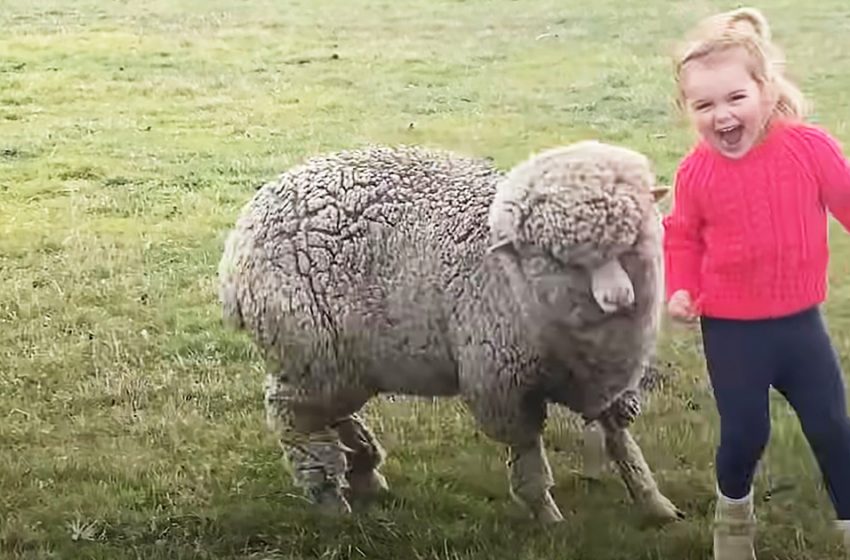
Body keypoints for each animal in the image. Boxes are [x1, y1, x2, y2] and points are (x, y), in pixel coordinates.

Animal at [219, 140, 684, 524]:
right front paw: (548, 517)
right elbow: (528, 455)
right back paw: (331, 498)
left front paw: (655, 502)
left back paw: (364, 468)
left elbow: (621, 441)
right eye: (560, 258)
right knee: (295, 420)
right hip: (309, 350)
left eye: (630, 239)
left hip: (336, 364)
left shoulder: (607, 379)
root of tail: (239, 242)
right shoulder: (502, 384)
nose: (619, 299)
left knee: (330, 412)